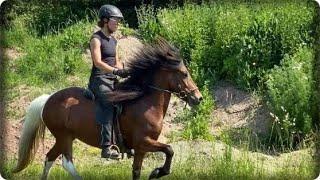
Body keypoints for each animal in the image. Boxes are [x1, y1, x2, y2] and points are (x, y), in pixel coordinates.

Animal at [13, 37, 202, 179]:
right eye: (185, 73)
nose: (198, 98)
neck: (145, 103)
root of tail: (48, 99)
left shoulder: (141, 148)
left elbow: (137, 171)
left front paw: (156, 172)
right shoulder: (143, 141)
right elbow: (169, 149)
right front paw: (158, 172)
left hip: (66, 137)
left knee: (50, 158)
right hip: (63, 136)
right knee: (66, 162)